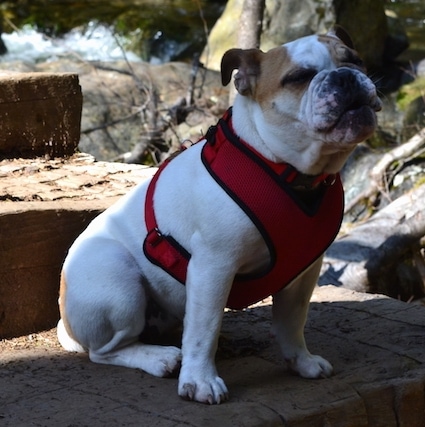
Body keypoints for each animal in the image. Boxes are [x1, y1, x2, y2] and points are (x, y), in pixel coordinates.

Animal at [57, 27, 380, 404]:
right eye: (299, 77)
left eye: (356, 60)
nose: (344, 76)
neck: (287, 171)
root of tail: (66, 317)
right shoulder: (213, 266)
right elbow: (204, 329)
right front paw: (199, 380)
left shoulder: (303, 273)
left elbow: (292, 320)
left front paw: (301, 361)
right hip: (117, 283)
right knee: (105, 351)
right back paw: (160, 358)